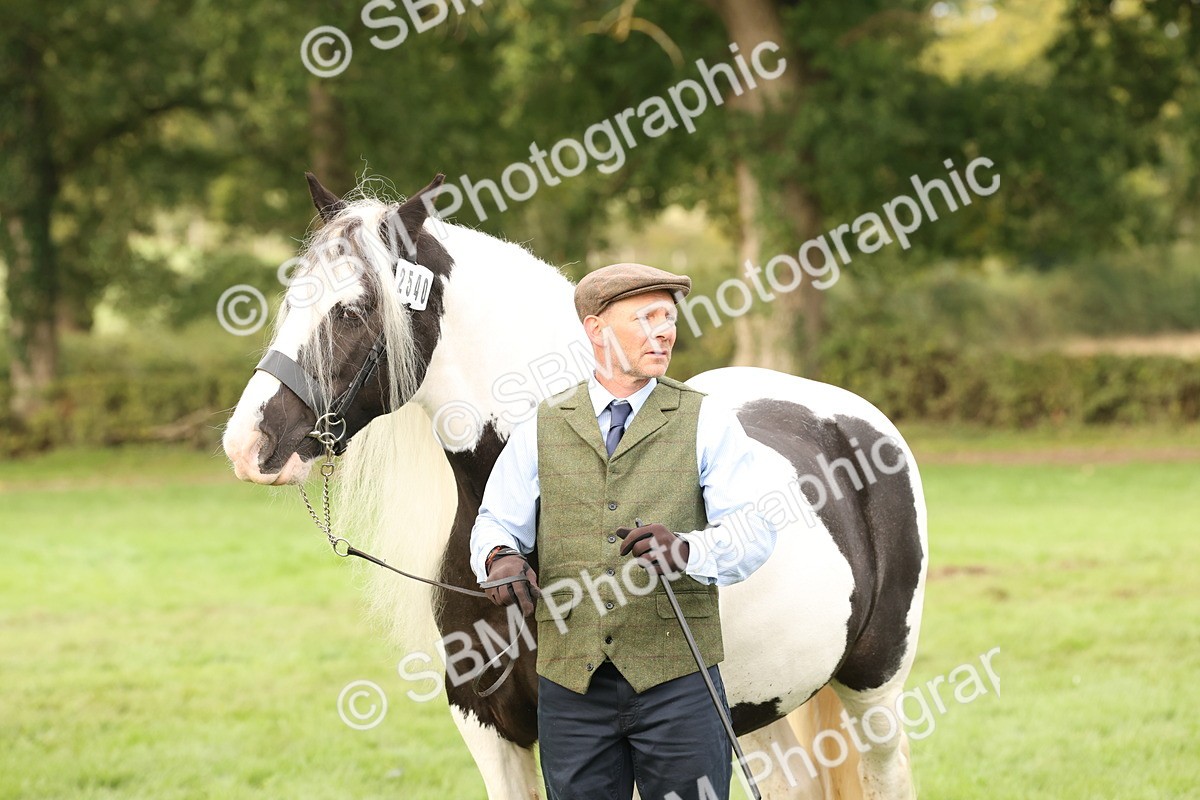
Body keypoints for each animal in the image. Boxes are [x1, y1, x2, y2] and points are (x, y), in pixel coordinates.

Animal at [222, 173, 928, 800]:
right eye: (293, 300)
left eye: (356, 308)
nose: (248, 443)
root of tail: (843, 416)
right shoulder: (492, 731)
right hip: (758, 710)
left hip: (874, 688)